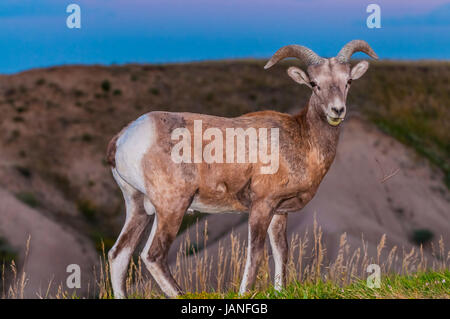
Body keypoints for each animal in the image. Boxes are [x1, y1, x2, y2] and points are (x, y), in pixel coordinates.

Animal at [107, 40, 378, 300]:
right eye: (314, 84)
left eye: (348, 81)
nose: (337, 111)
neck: (301, 138)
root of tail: (125, 137)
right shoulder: (261, 206)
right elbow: (256, 253)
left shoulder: (279, 212)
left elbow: (281, 252)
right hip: (172, 207)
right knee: (153, 256)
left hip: (139, 208)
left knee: (119, 254)